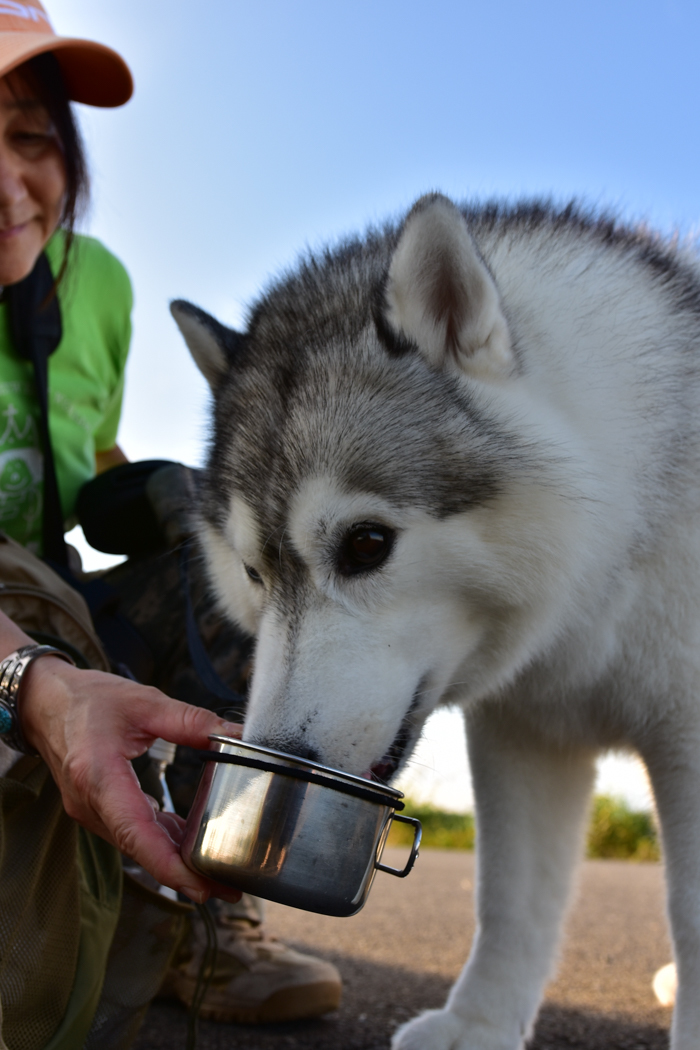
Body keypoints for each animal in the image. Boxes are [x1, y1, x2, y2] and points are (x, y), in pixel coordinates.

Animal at [170, 193, 700, 1045]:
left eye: (366, 544)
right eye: (254, 573)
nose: (281, 759)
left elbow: (689, 910)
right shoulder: (524, 733)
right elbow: (507, 899)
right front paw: (478, 1023)